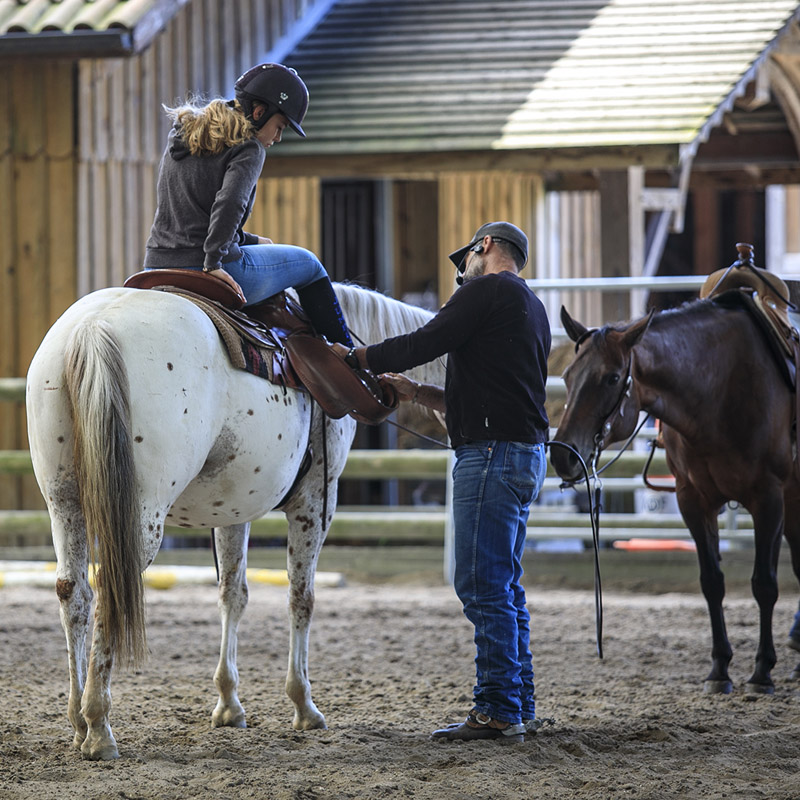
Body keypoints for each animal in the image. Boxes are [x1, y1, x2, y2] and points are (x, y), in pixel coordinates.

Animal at [25, 282, 440, 764]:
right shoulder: (317, 500)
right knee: (110, 590)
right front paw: (303, 705)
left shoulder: (231, 509)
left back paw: (77, 721)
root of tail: (92, 329)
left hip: (63, 502)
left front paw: (228, 704)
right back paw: (98, 727)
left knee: (73, 593)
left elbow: (232, 594)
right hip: (137, 513)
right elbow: (301, 598)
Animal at [552, 298, 800, 692]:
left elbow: (764, 583)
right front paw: (719, 669)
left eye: (611, 377)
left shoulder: (769, 498)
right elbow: (711, 582)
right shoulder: (693, 500)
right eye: (567, 376)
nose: (562, 455)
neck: (719, 388)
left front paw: (762, 671)